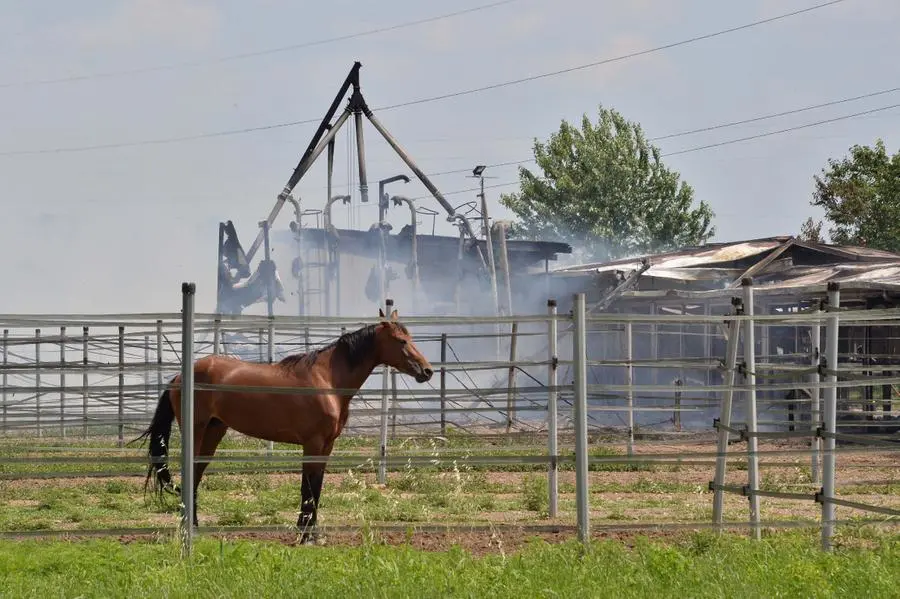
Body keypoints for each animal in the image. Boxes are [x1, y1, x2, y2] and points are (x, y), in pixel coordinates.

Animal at [134, 310, 436, 544]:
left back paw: (195, 526)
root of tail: (179, 376)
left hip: (214, 431)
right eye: (401, 341)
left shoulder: (327, 445)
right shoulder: (312, 443)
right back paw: (189, 528)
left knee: (195, 475)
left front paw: (312, 534)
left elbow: (317, 487)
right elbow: (308, 488)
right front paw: (304, 535)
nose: (427, 371)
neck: (327, 380)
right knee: (190, 474)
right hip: (196, 431)